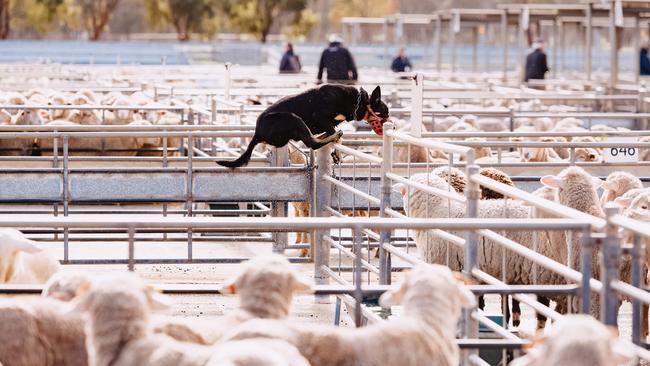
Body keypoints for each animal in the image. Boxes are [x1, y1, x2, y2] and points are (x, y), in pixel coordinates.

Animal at [215, 83, 388, 168]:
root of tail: (257, 133)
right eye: (385, 113)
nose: (390, 123)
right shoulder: (320, 116)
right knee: (312, 143)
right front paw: (336, 142)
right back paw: (332, 136)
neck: (357, 101)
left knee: (313, 140)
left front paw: (337, 151)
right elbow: (334, 133)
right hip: (293, 119)